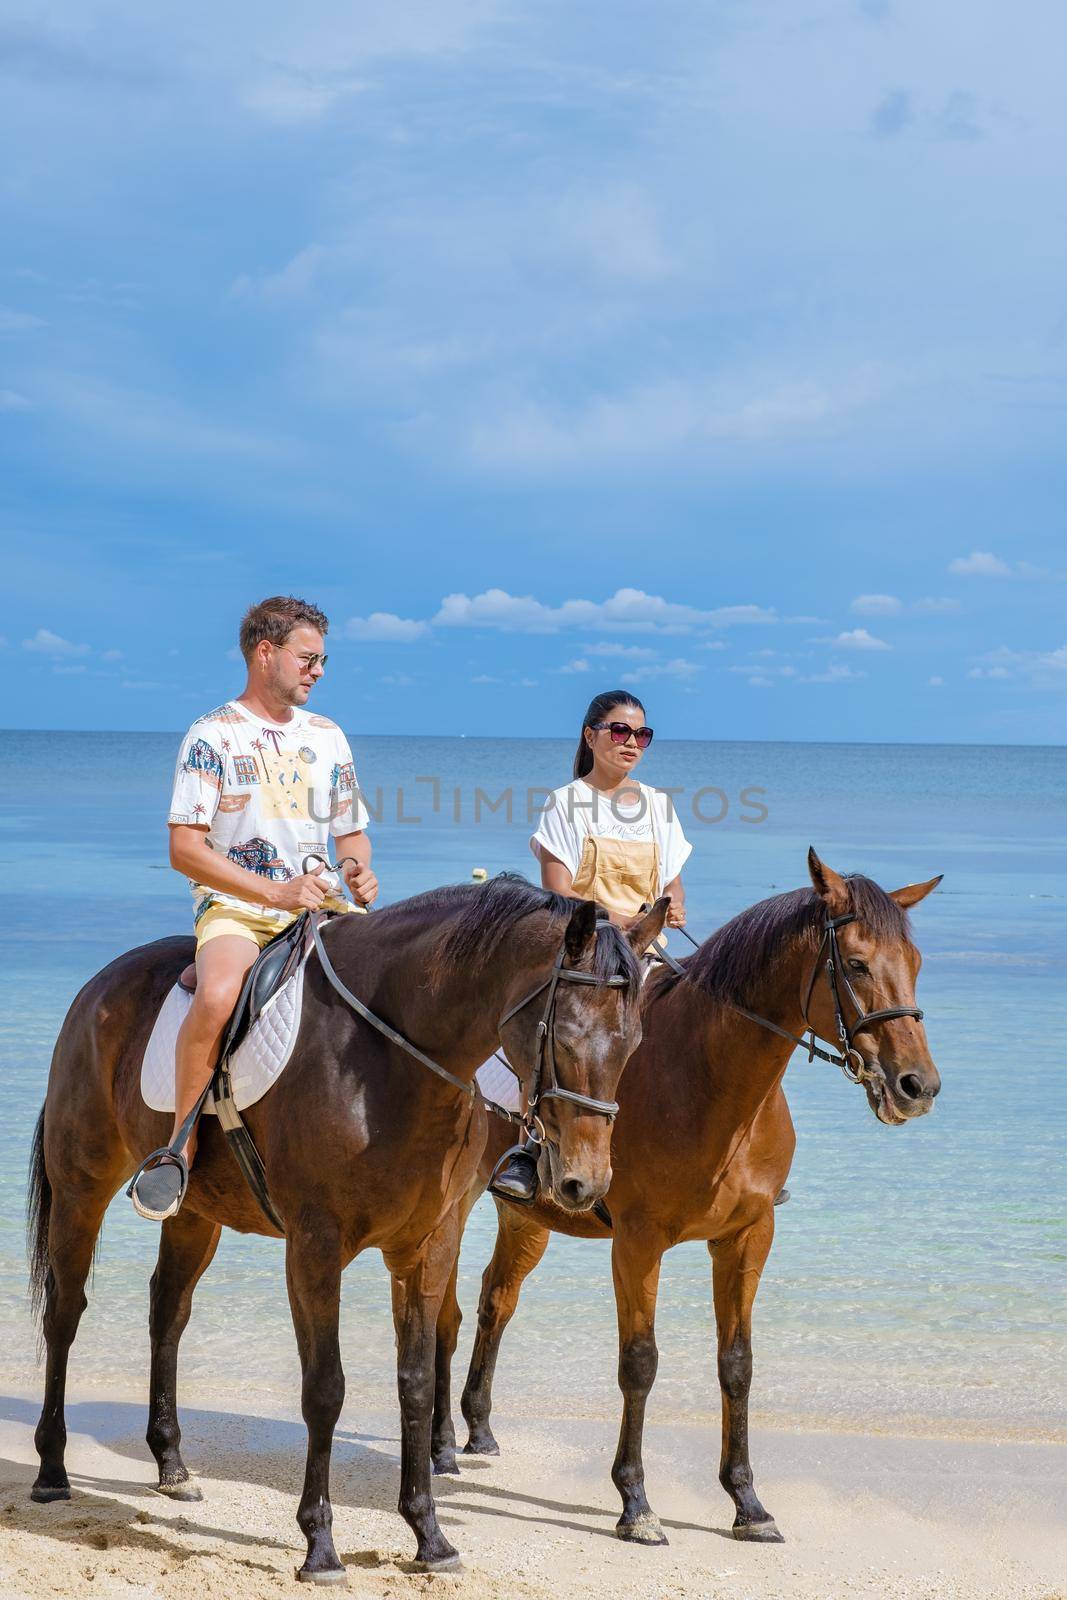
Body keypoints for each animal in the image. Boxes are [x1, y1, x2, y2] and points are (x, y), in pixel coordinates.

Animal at [27, 876, 668, 1574]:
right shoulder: (315, 1245)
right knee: (65, 1311)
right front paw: (320, 1543)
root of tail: (101, 983)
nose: (586, 1183)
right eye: (566, 1037)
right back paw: (52, 1469)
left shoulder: (427, 1245)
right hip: (82, 1186)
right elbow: (325, 1388)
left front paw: (429, 1534)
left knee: (167, 1311)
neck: (390, 1058)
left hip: (195, 1214)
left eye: (634, 1045)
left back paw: (172, 1465)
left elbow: (415, 1382)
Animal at [428, 851, 940, 1536]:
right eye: (856, 963)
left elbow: (737, 1364)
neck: (706, 1080)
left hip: (527, 1217)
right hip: (453, 1208)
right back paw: (438, 1446)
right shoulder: (639, 1243)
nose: (918, 1086)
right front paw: (635, 1502)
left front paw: (747, 1502)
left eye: (914, 963)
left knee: (496, 1300)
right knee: (445, 1311)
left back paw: (479, 1428)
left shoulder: (747, 1237)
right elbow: (639, 1363)